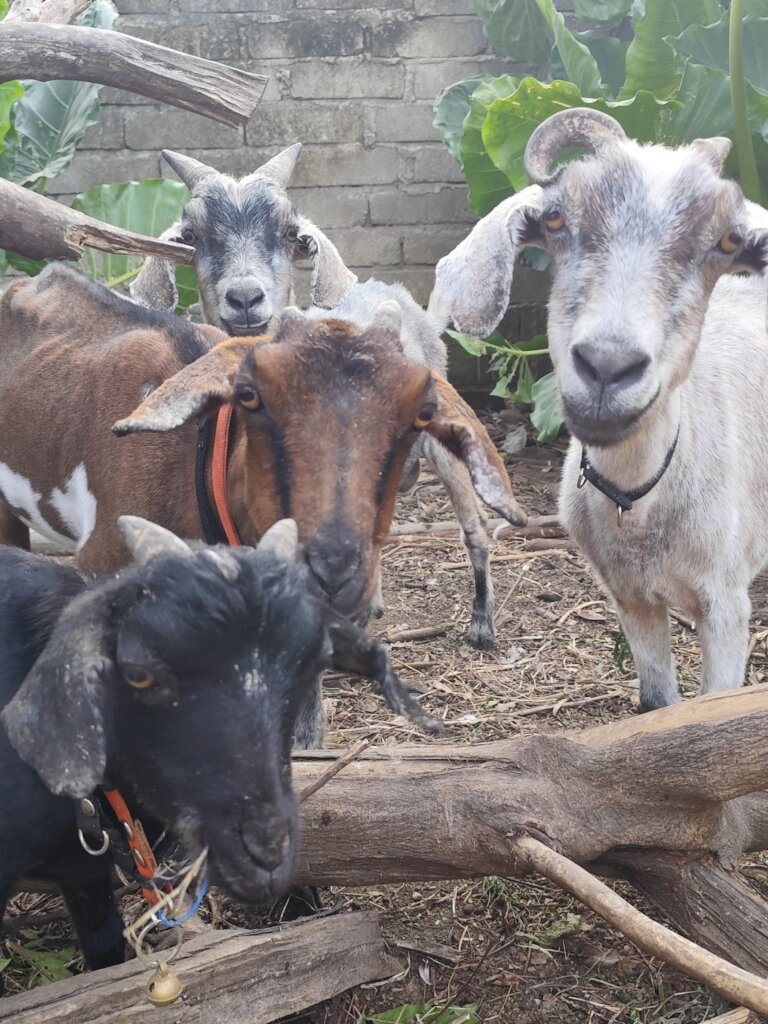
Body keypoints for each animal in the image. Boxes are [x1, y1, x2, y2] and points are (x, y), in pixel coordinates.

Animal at [432, 106, 768, 711]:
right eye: (555, 219)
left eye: (730, 239)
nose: (608, 365)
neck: (640, 503)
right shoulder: (629, 598)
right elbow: (657, 706)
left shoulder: (726, 606)